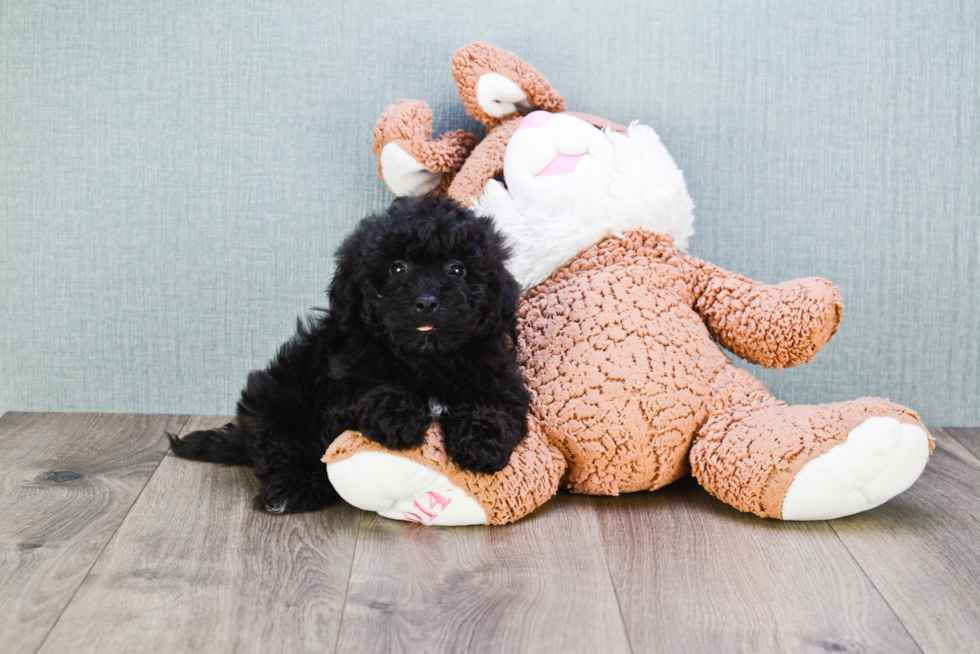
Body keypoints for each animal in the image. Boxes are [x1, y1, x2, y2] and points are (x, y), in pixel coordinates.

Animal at [172, 197, 532, 516]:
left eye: (458, 269)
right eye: (397, 267)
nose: (427, 301)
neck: (425, 360)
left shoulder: (498, 380)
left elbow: (492, 409)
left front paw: (480, 444)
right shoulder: (340, 388)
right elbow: (374, 391)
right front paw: (401, 418)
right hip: (278, 398)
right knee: (281, 449)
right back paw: (291, 489)